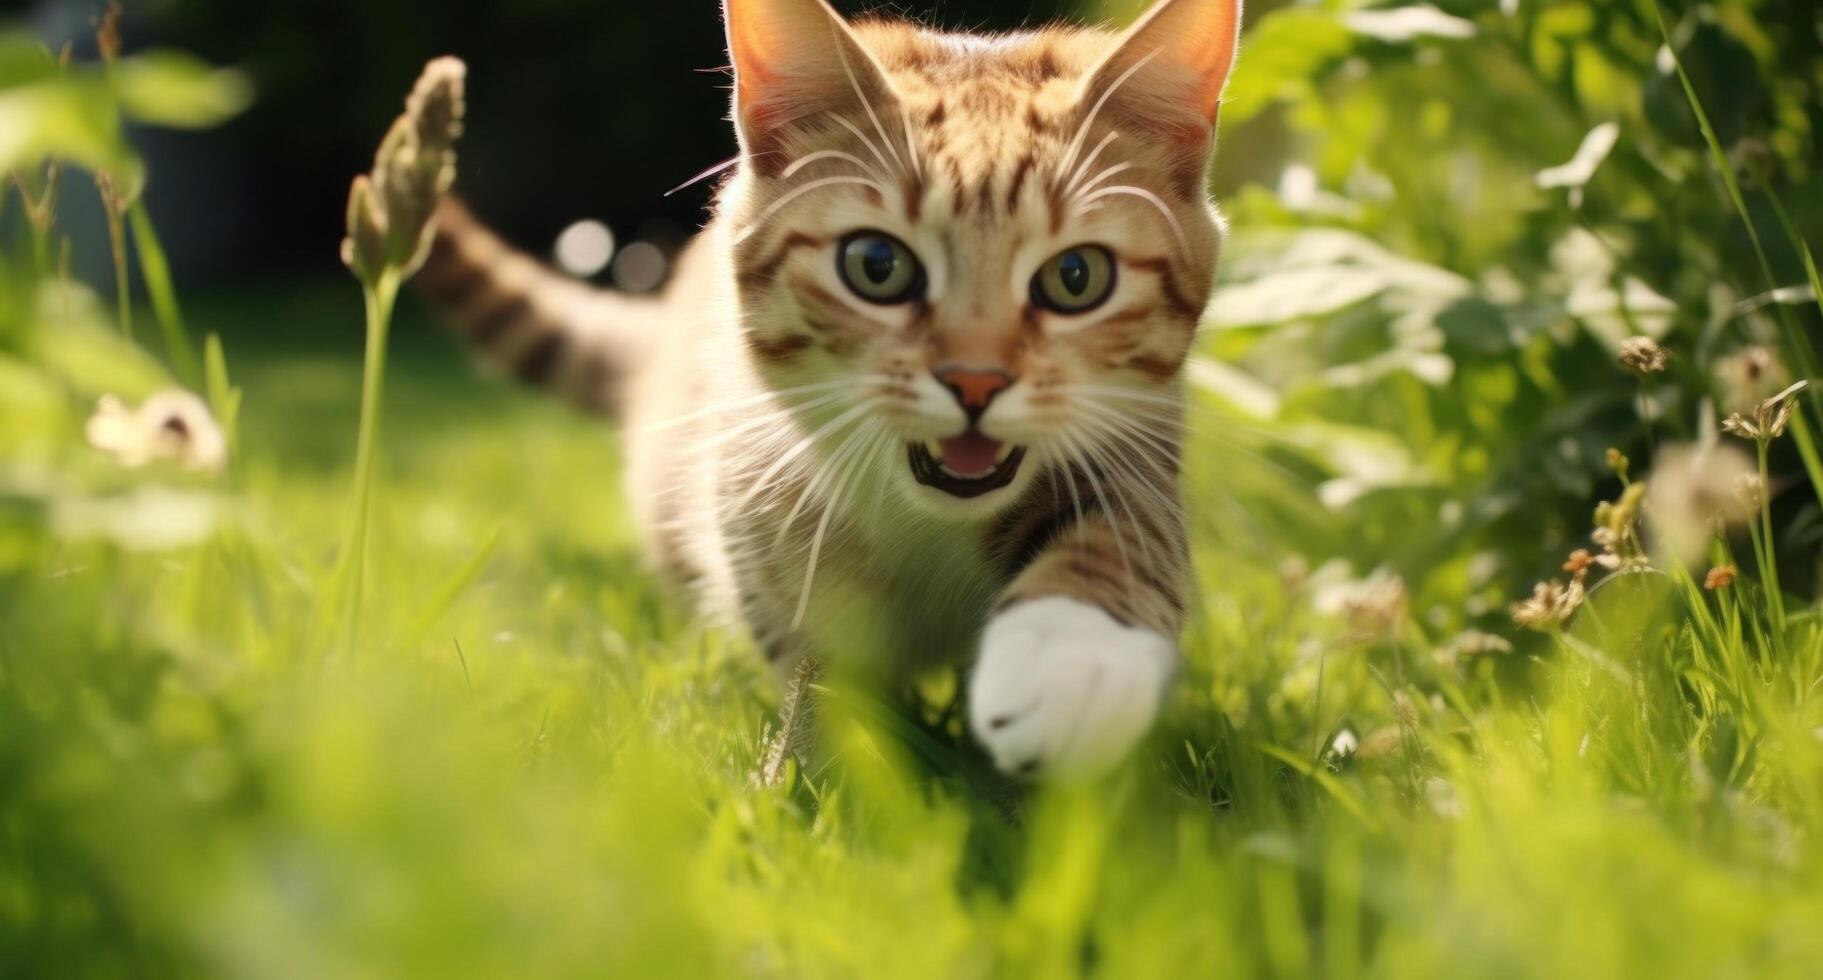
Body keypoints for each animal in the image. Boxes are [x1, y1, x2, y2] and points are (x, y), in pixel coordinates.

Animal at [413, 0, 1239, 779]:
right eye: (876, 265)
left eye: (1076, 277)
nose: (975, 381)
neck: (924, 518)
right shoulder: (757, 492)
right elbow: (815, 667)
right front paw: (817, 770)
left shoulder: (1134, 440)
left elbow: (1127, 532)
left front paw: (1072, 660)